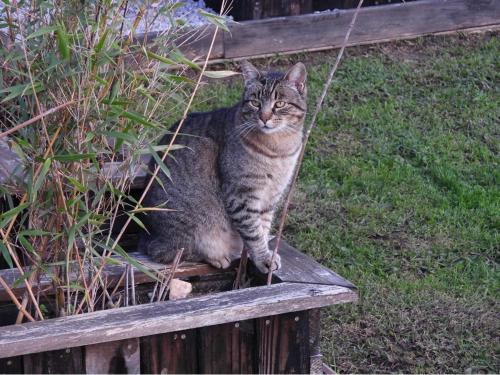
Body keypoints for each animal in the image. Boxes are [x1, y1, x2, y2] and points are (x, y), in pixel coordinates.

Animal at [139, 61, 306, 274]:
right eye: (255, 103)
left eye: (280, 104)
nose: (264, 117)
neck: (280, 147)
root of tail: (147, 235)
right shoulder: (241, 194)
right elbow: (253, 232)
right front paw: (263, 258)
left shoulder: (272, 195)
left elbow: (263, 226)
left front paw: (265, 252)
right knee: (169, 252)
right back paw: (217, 256)